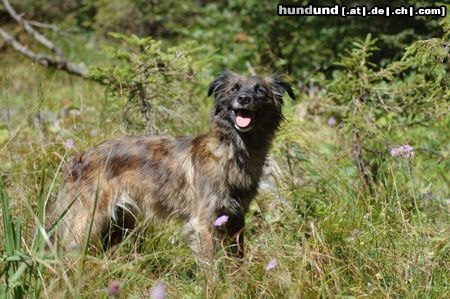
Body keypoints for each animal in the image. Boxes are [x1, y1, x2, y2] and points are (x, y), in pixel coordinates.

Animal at [46, 71, 296, 262]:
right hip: (87, 222)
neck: (233, 150)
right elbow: (211, 266)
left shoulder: (235, 219)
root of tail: (80, 157)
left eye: (259, 91)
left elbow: (238, 258)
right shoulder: (203, 223)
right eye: (234, 89)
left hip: (119, 223)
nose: (244, 98)